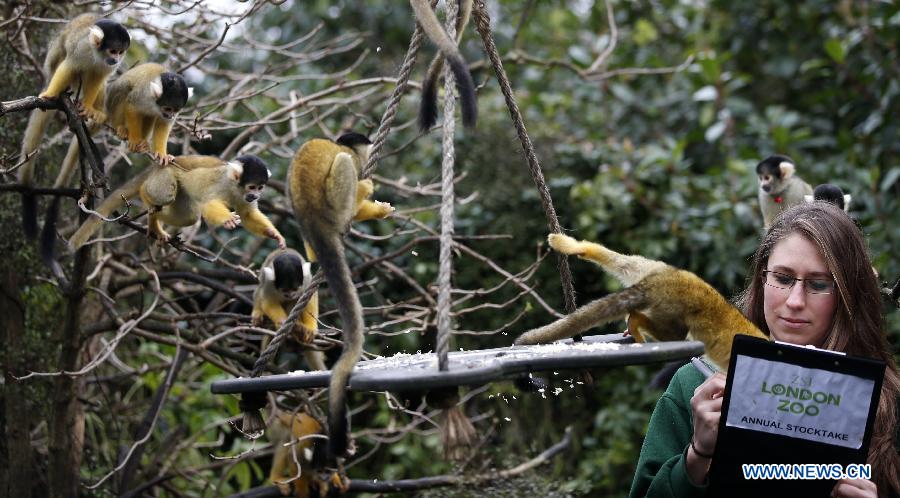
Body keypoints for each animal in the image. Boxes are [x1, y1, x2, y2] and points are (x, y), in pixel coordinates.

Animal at [67, 155, 284, 249]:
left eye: (260, 187)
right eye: (252, 186)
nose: (255, 196)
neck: (237, 188)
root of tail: (157, 167)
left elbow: (247, 214)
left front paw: (273, 234)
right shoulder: (223, 184)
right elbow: (209, 204)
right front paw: (228, 220)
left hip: (182, 193)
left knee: (189, 217)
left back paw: (154, 218)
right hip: (166, 175)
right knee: (164, 196)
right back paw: (147, 200)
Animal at [512, 233, 768, 370]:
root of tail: (660, 282)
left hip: (653, 269)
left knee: (628, 263)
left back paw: (576, 246)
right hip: (671, 309)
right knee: (673, 334)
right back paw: (635, 322)